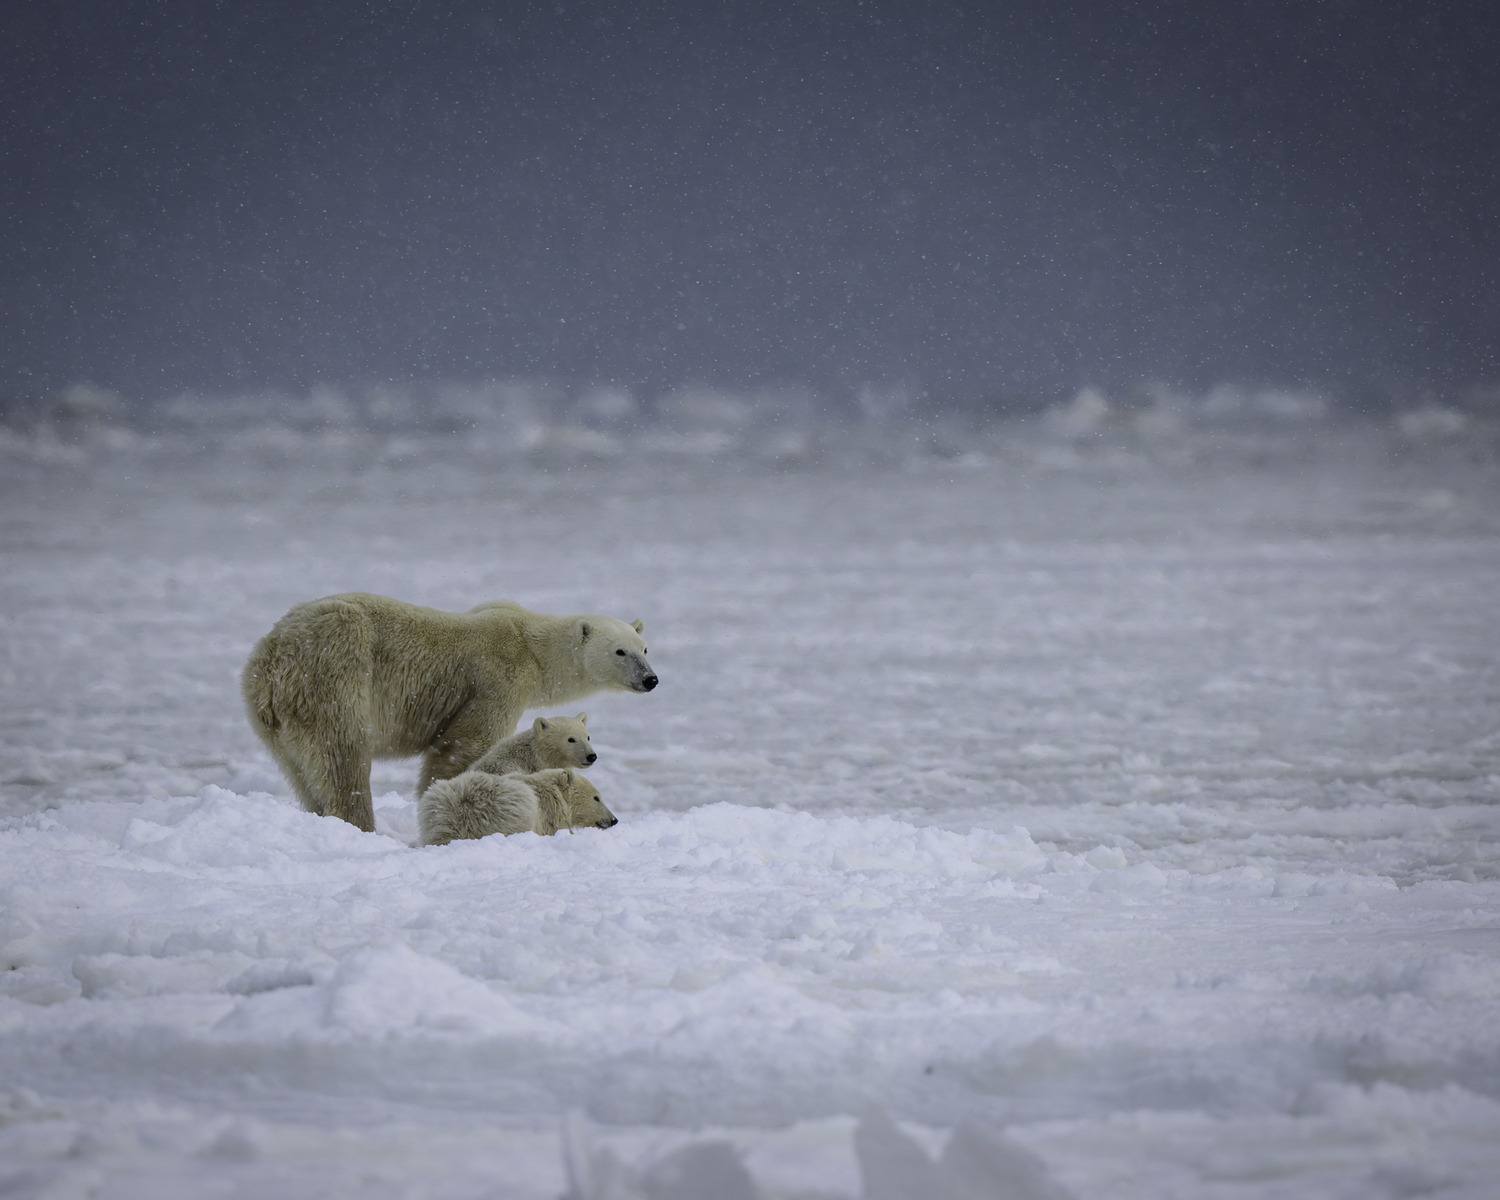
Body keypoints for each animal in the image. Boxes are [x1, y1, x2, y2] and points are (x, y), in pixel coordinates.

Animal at [243, 594, 654, 828]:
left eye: (644, 647)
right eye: (620, 651)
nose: (651, 680)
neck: (530, 644)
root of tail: (273, 656)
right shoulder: (496, 680)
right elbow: (464, 747)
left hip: (267, 713)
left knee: (301, 770)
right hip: (334, 676)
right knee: (342, 756)